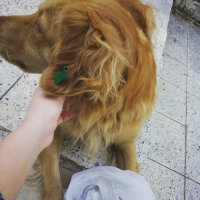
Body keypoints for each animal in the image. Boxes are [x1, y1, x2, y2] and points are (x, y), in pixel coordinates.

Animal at [0, 0, 156, 198]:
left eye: (38, 26)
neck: (99, 107)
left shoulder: (126, 140)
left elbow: (132, 175)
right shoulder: (50, 129)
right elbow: (53, 183)